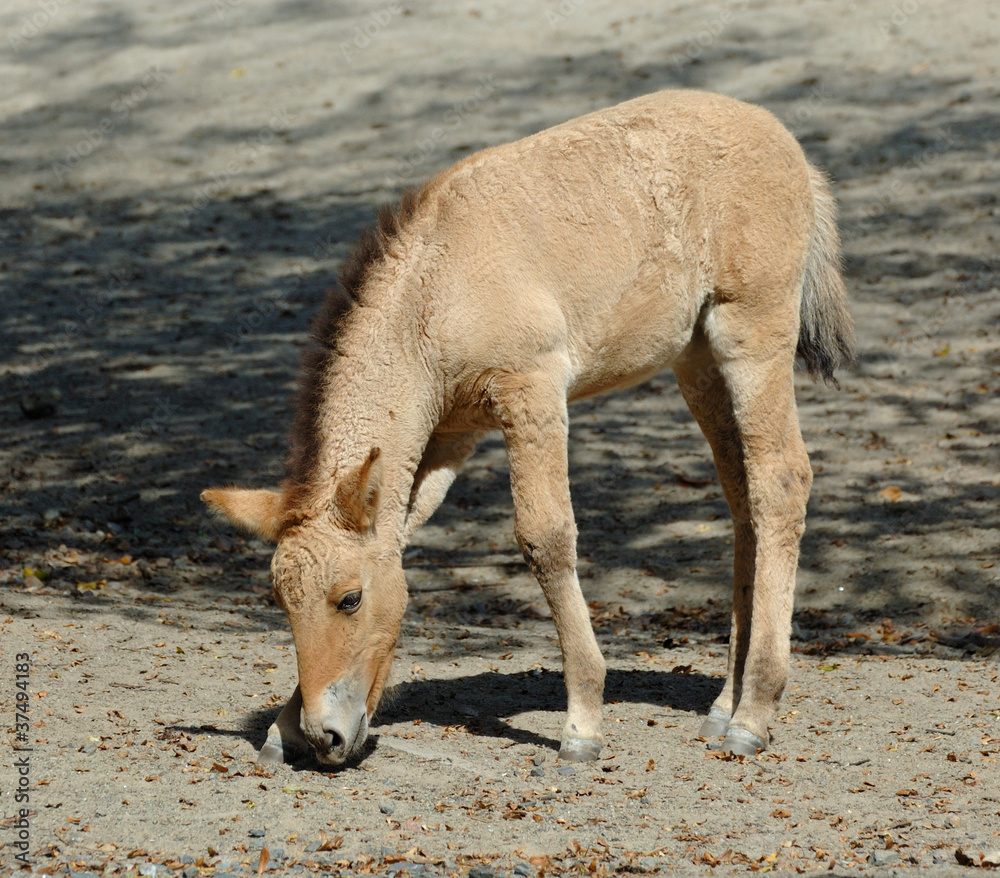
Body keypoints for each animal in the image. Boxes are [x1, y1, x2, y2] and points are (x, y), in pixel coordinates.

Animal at [201, 87, 852, 764]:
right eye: (281, 600)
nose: (325, 736)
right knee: (743, 499)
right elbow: (402, 531)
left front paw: (582, 723)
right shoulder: (448, 436)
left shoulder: (532, 393)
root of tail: (785, 142)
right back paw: (724, 705)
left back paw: (754, 712)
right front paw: (282, 726)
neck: (435, 294)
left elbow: (546, 536)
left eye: (349, 598)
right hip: (697, 363)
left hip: (752, 335)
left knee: (781, 481)